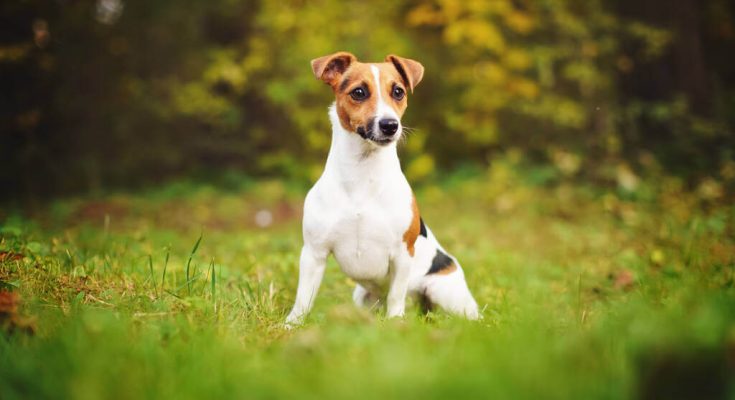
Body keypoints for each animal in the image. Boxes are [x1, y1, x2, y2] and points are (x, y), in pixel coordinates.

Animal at [284, 51, 480, 324]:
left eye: (398, 91)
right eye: (358, 92)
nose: (390, 125)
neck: (362, 174)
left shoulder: (402, 255)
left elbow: (396, 296)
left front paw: (396, 322)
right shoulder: (314, 253)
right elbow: (303, 297)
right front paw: (292, 324)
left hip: (443, 291)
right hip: (362, 297)